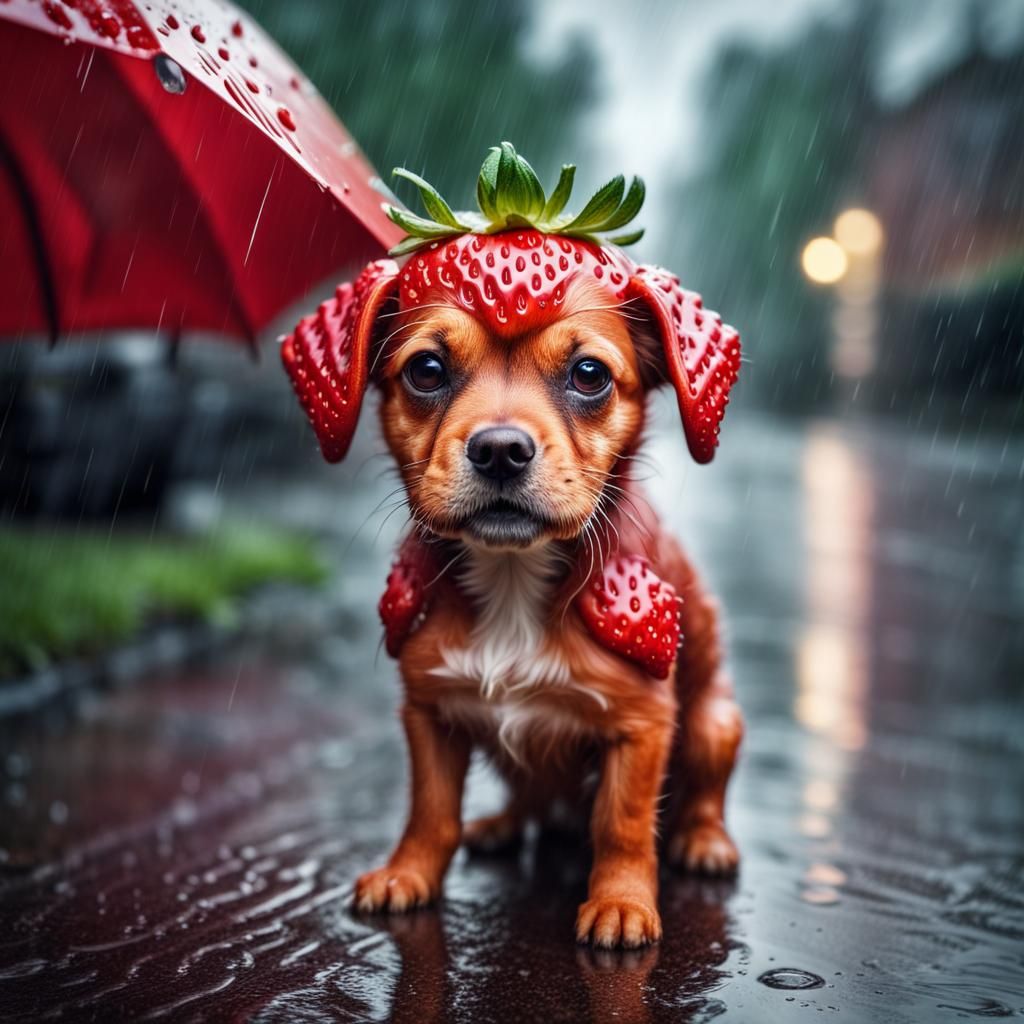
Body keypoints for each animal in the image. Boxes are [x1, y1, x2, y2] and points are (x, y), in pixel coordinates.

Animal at [282, 228, 745, 946]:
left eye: (589, 376)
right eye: (426, 370)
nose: (500, 449)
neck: (511, 576)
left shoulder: (642, 725)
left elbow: (623, 824)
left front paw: (621, 902)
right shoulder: (429, 708)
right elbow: (431, 811)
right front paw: (408, 873)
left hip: (716, 723)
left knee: (702, 792)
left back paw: (705, 841)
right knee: (527, 795)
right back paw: (499, 825)